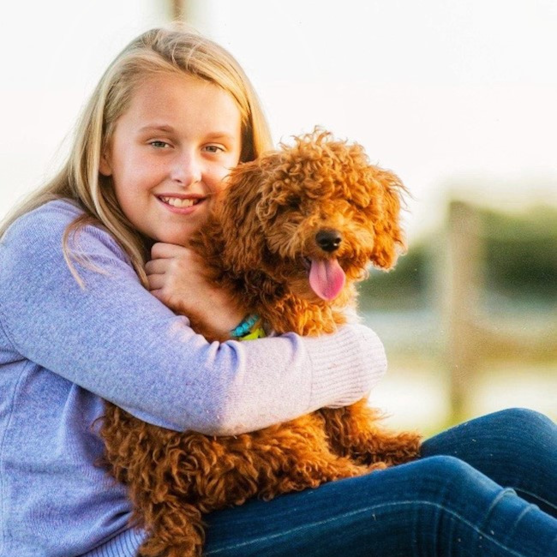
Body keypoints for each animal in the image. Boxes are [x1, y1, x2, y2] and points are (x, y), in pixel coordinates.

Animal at [100, 128, 422, 552]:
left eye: (350, 202)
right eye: (294, 204)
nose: (329, 238)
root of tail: (161, 493)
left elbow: (346, 410)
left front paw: (377, 440)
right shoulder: (309, 338)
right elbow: (342, 404)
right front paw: (372, 446)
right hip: (273, 429)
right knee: (313, 468)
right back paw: (368, 469)